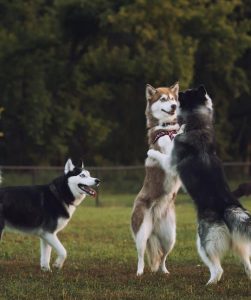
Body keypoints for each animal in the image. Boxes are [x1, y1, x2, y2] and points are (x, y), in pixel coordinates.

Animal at [131, 83, 180, 276]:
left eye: (173, 99)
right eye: (163, 99)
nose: (174, 106)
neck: (168, 128)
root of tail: (155, 218)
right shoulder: (170, 158)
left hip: (170, 237)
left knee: (162, 257)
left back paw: (164, 271)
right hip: (141, 233)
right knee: (141, 255)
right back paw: (139, 272)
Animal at [148, 85, 251, 284]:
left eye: (184, 93)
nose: (177, 96)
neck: (198, 125)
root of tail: (228, 207)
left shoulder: (171, 162)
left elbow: (163, 152)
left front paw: (151, 151)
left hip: (204, 242)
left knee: (218, 269)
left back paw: (209, 283)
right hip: (239, 243)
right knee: (247, 263)